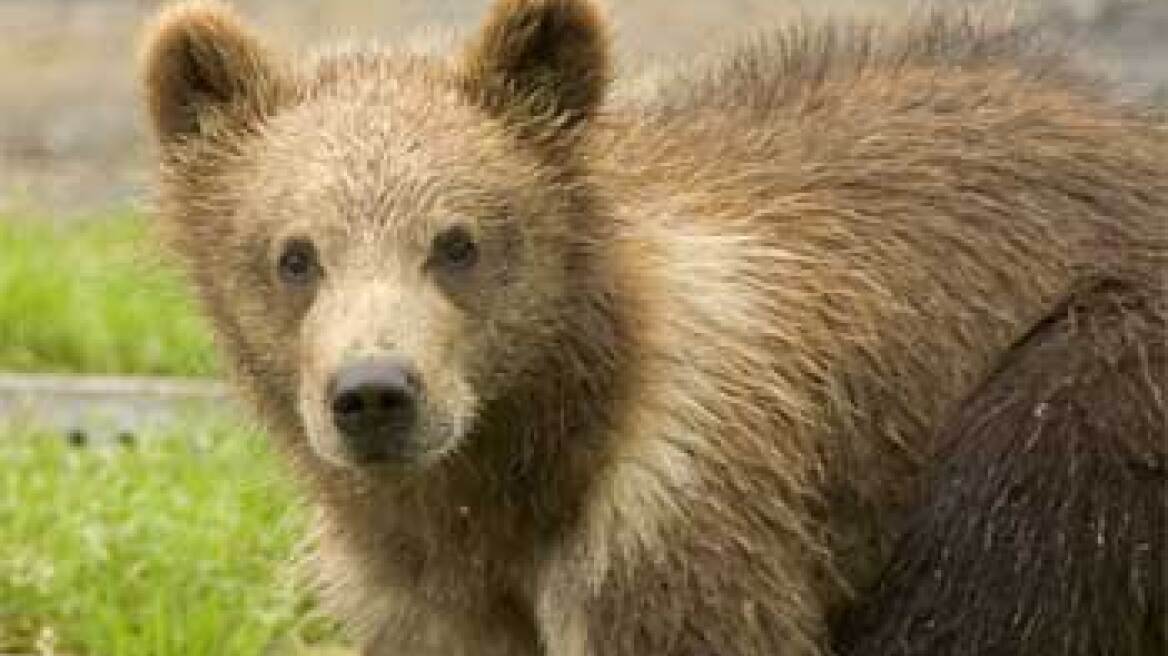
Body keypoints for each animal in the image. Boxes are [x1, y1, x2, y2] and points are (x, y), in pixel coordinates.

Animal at [141, 1, 1163, 653]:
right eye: (296, 254)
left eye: (457, 242)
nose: (375, 393)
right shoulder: (417, 586)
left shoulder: (676, 526)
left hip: (1089, 390)